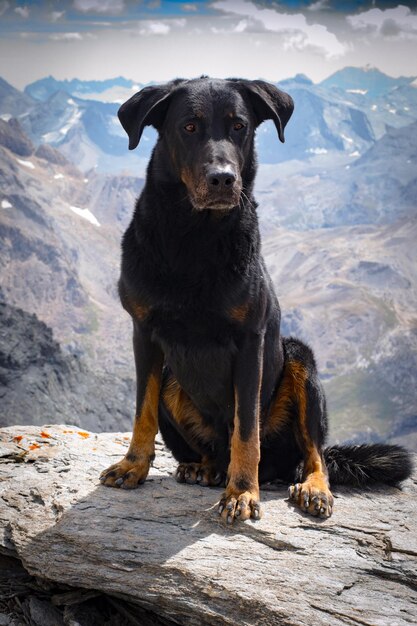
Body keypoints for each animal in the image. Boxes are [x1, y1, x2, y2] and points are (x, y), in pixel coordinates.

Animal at [99, 75, 412, 520]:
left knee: (313, 453)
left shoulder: (251, 341)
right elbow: (142, 409)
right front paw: (134, 465)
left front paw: (243, 492)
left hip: (299, 360)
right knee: (209, 447)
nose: (223, 178)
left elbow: (247, 429)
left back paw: (310, 486)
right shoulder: (143, 333)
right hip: (174, 379)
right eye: (189, 127)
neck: (194, 236)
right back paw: (204, 468)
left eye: (239, 127)